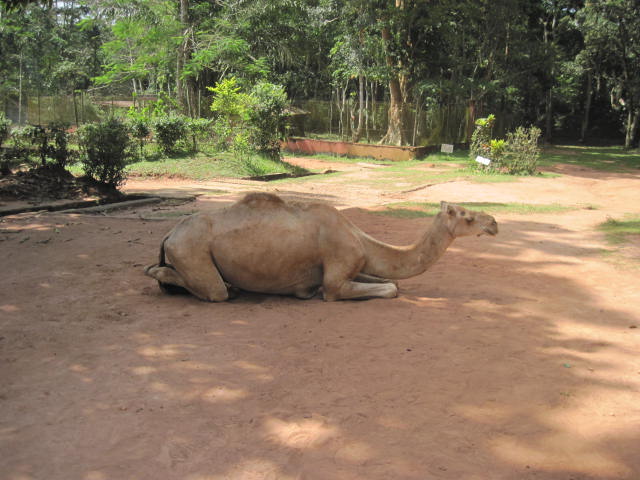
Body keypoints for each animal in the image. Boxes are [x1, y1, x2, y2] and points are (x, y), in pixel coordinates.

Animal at [146, 190, 500, 300]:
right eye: (467, 216)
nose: (494, 222)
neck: (358, 239)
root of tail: (170, 234)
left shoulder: (356, 265)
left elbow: (392, 280)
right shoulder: (337, 276)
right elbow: (390, 288)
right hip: (191, 250)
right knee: (210, 288)